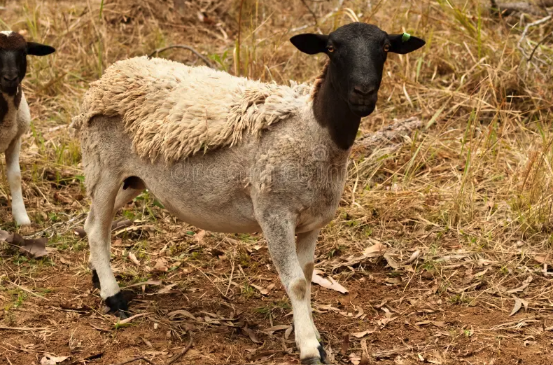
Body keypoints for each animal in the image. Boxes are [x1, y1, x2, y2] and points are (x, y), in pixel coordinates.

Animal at [69, 23, 422, 364]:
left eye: (386, 47)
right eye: (332, 48)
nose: (364, 91)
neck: (311, 129)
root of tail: (112, 73)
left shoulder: (312, 221)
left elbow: (307, 277)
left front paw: (308, 330)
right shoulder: (274, 212)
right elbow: (296, 282)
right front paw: (310, 348)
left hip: (134, 178)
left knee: (96, 222)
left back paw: (97, 274)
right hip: (104, 165)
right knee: (96, 227)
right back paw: (113, 297)